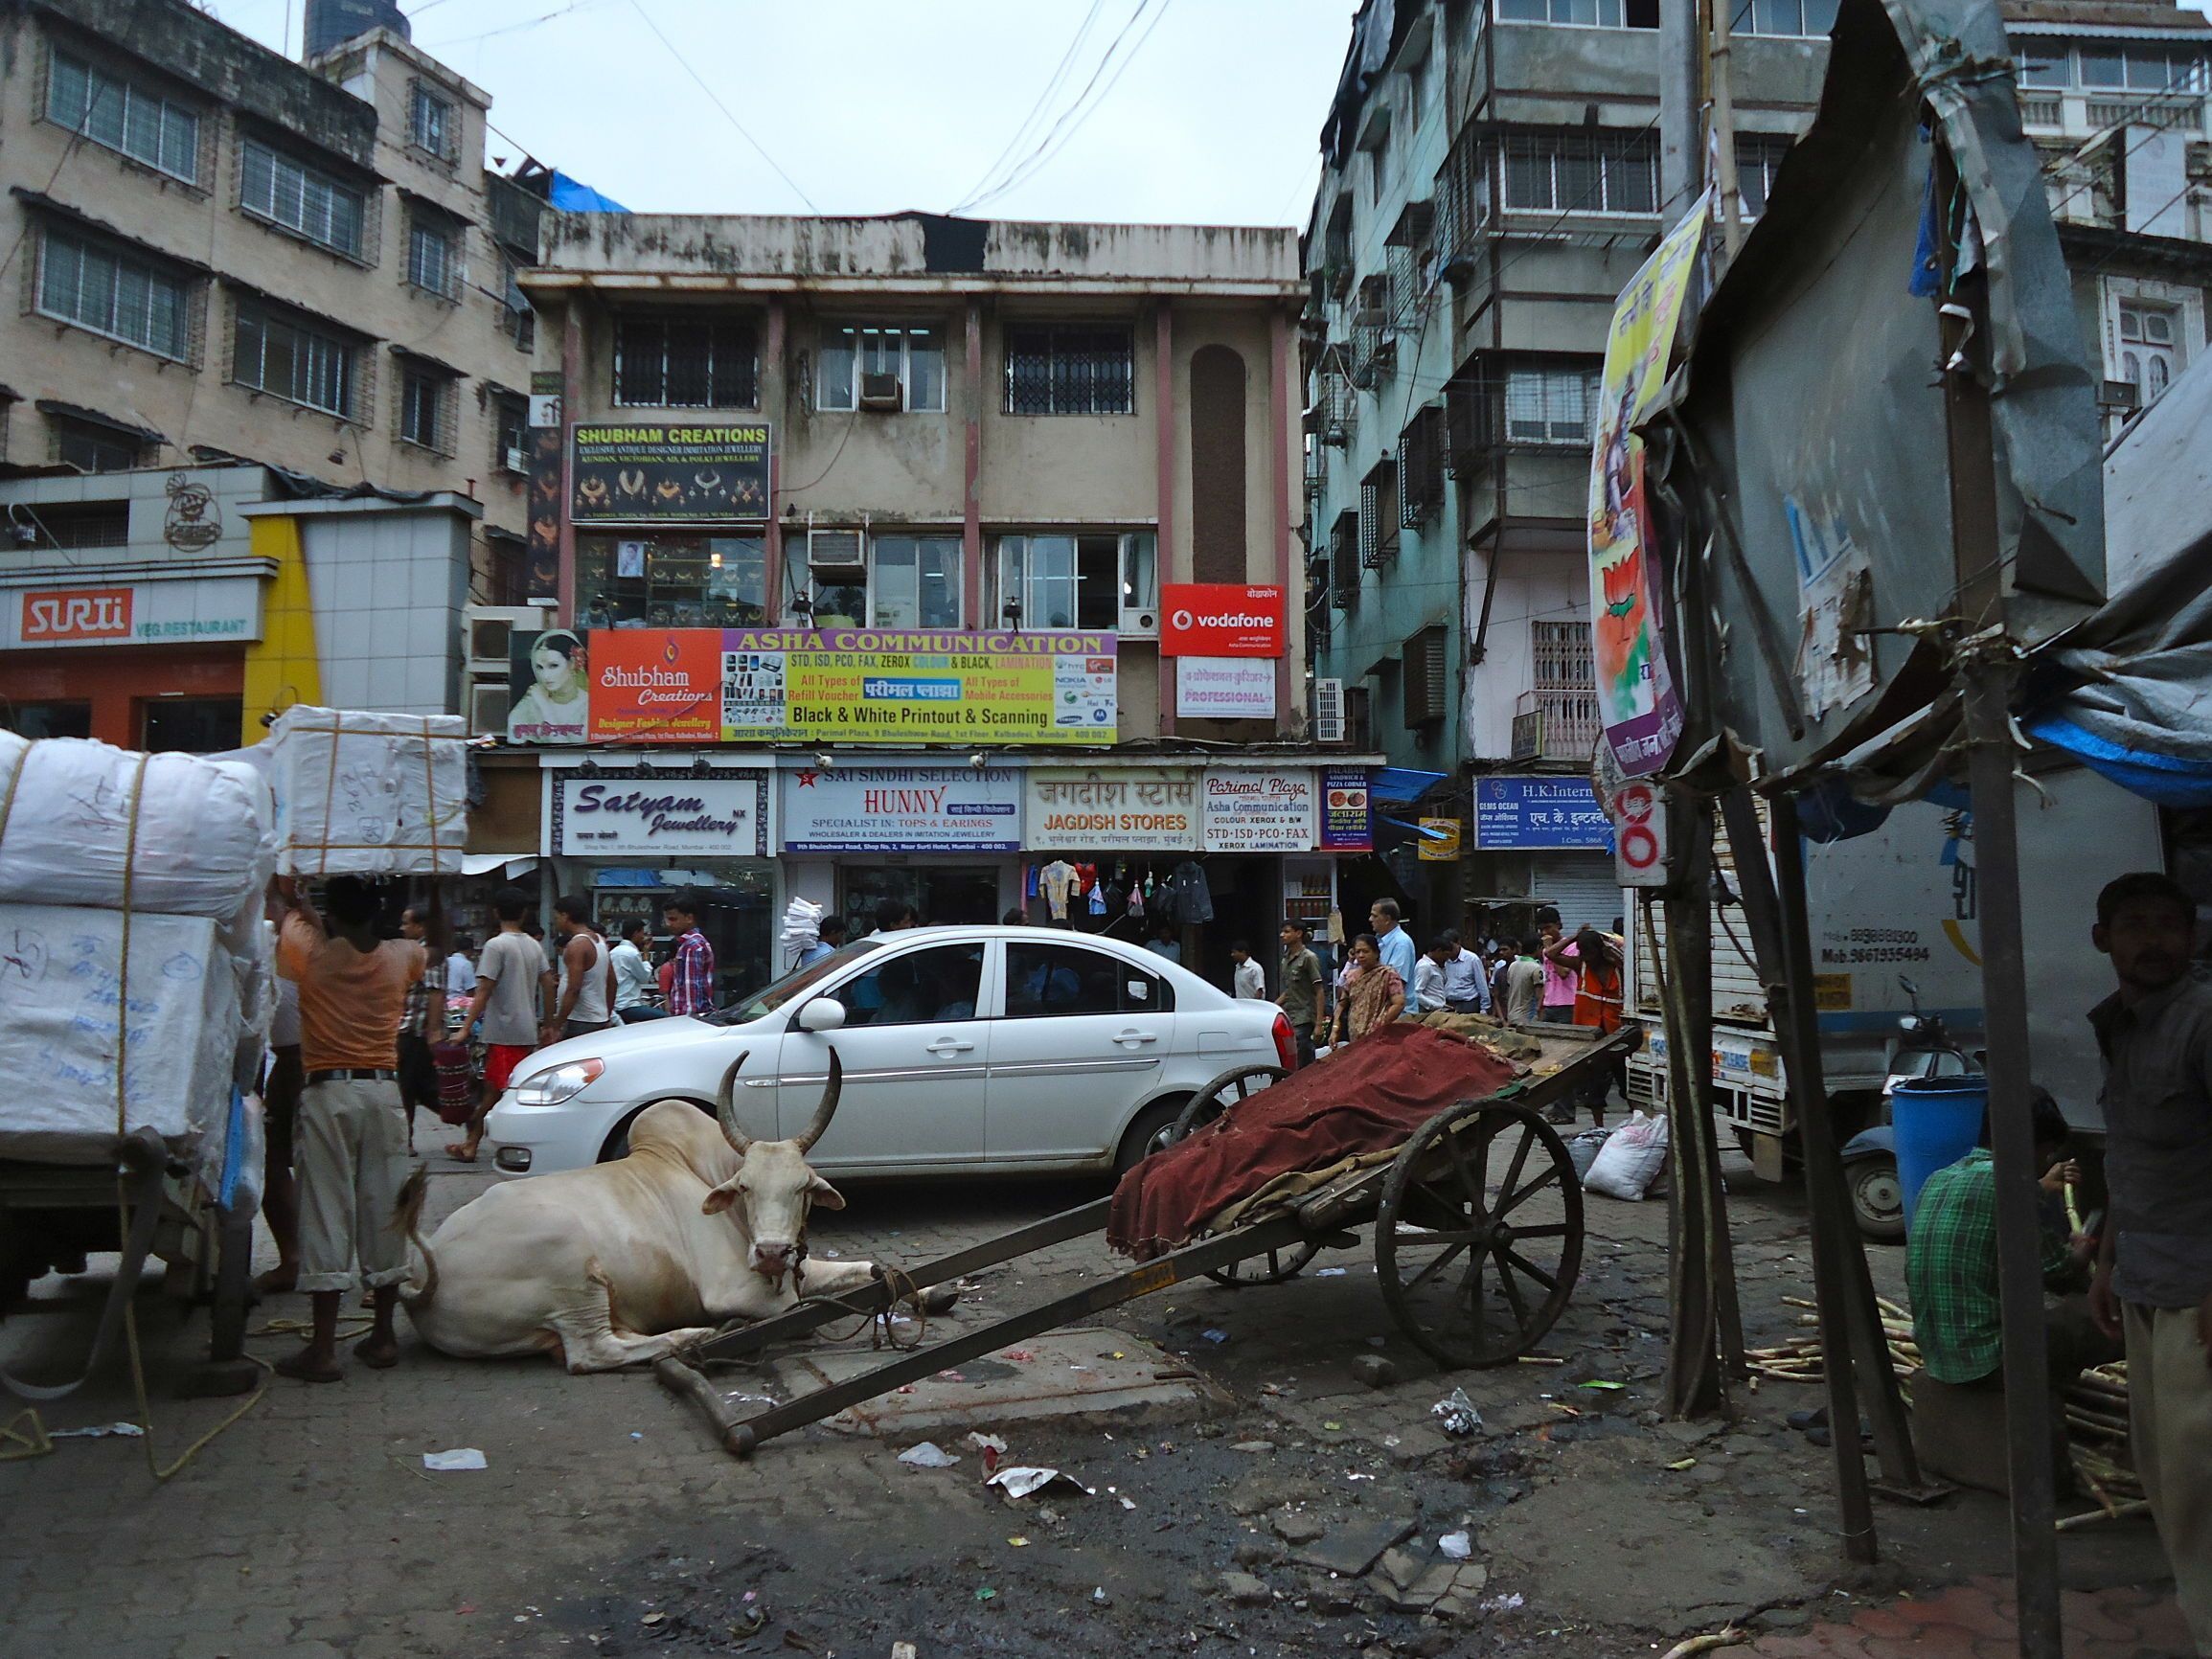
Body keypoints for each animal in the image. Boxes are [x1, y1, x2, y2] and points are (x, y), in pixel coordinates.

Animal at [398, 1057, 889, 1371]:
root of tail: (423, 1275)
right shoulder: (729, 1289)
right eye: (746, 1187)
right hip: (570, 1263)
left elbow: (868, 1270)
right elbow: (795, 1307)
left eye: (802, 1186)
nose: (770, 1253)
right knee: (590, 1354)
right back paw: (694, 1337)